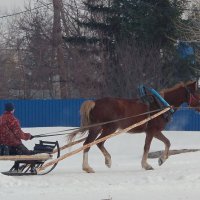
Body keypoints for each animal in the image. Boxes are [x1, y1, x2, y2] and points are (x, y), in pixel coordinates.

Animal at [68, 80, 200, 173]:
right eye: (198, 92)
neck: (160, 105)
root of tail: (95, 102)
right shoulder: (151, 131)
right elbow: (147, 147)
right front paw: (146, 165)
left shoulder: (156, 131)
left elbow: (167, 142)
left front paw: (161, 159)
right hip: (109, 128)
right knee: (97, 143)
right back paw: (102, 162)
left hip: (97, 129)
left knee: (88, 144)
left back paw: (90, 166)